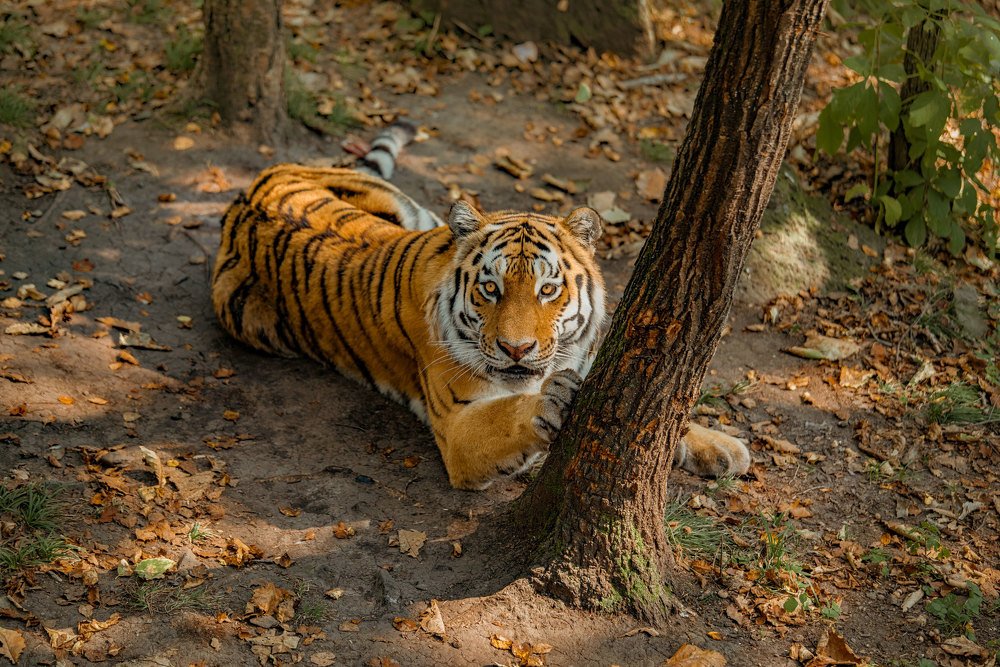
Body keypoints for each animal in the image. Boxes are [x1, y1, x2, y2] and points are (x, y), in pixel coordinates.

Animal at [211, 122, 750, 490]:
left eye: (548, 290)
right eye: (490, 289)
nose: (516, 349)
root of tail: (247, 191)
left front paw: (723, 446)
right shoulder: (458, 428)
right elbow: (508, 414)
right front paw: (547, 403)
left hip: (408, 208)